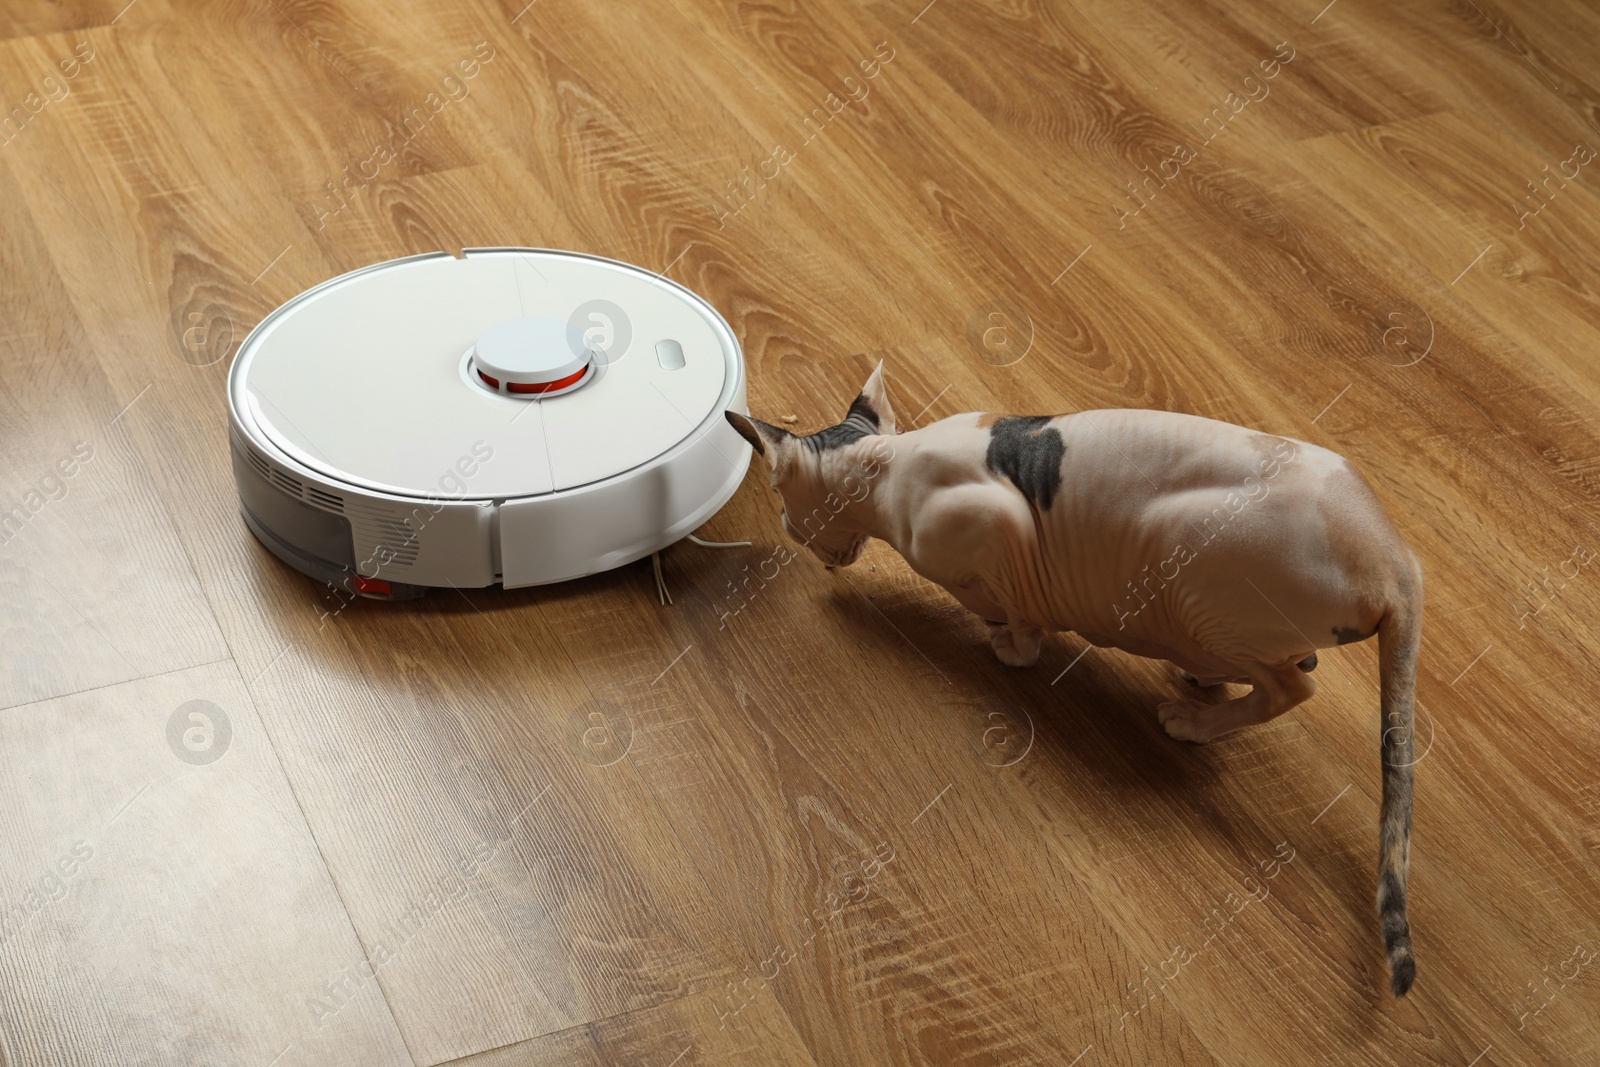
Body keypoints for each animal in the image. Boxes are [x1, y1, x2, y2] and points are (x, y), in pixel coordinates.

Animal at [732, 363, 1420, 998]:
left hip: (1196, 564)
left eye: (780, 502)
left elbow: (1015, 610)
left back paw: (1195, 720)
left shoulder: (1001, 524)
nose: (796, 537)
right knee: (1293, 666)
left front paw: (1010, 644)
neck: (888, 463)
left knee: (1292, 688)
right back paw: (1201, 674)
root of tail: (1395, 559)